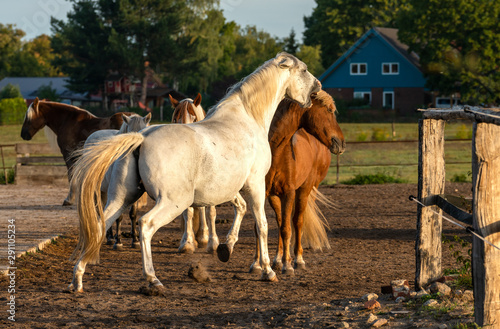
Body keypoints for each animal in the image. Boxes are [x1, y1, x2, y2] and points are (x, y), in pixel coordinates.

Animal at [84, 113, 151, 249]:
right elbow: (118, 217)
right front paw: (118, 241)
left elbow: (133, 214)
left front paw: (135, 240)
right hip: (98, 189)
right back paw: (109, 237)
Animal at [254, 89, 344, 274]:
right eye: (329, 110)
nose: (341, 142)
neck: (275, 152)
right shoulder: (262, 192)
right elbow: (262, 227)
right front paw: (258, 264)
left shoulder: (289, 192)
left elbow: (287, 229)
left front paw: (288, 265)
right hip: (275, 196)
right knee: (281, 221)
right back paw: (278, 259)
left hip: (305, 189)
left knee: (297, 221)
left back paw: (298, 259)